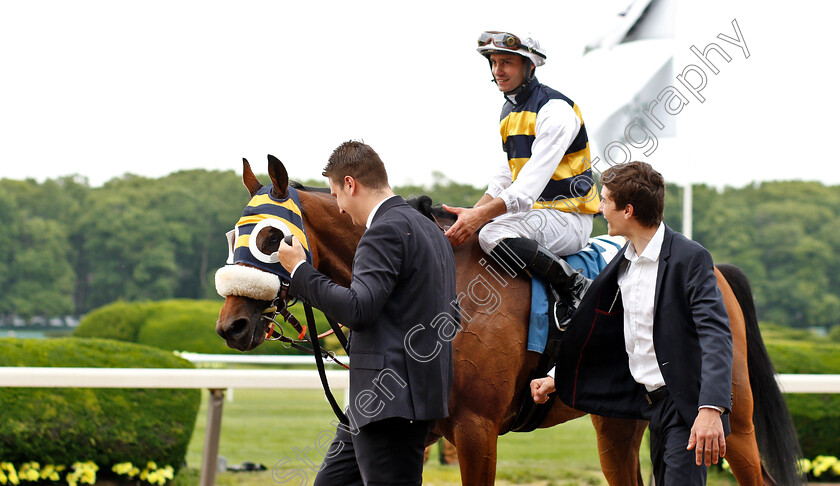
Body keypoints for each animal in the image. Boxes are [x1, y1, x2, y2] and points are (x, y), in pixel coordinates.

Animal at [215, 157, 800, 486]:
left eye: (269, 237)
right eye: (232, 235)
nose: (230, 326)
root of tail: (715, 269)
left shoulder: (476, 431)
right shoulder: (412, 429)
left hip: (730, 423)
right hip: (616, 423)